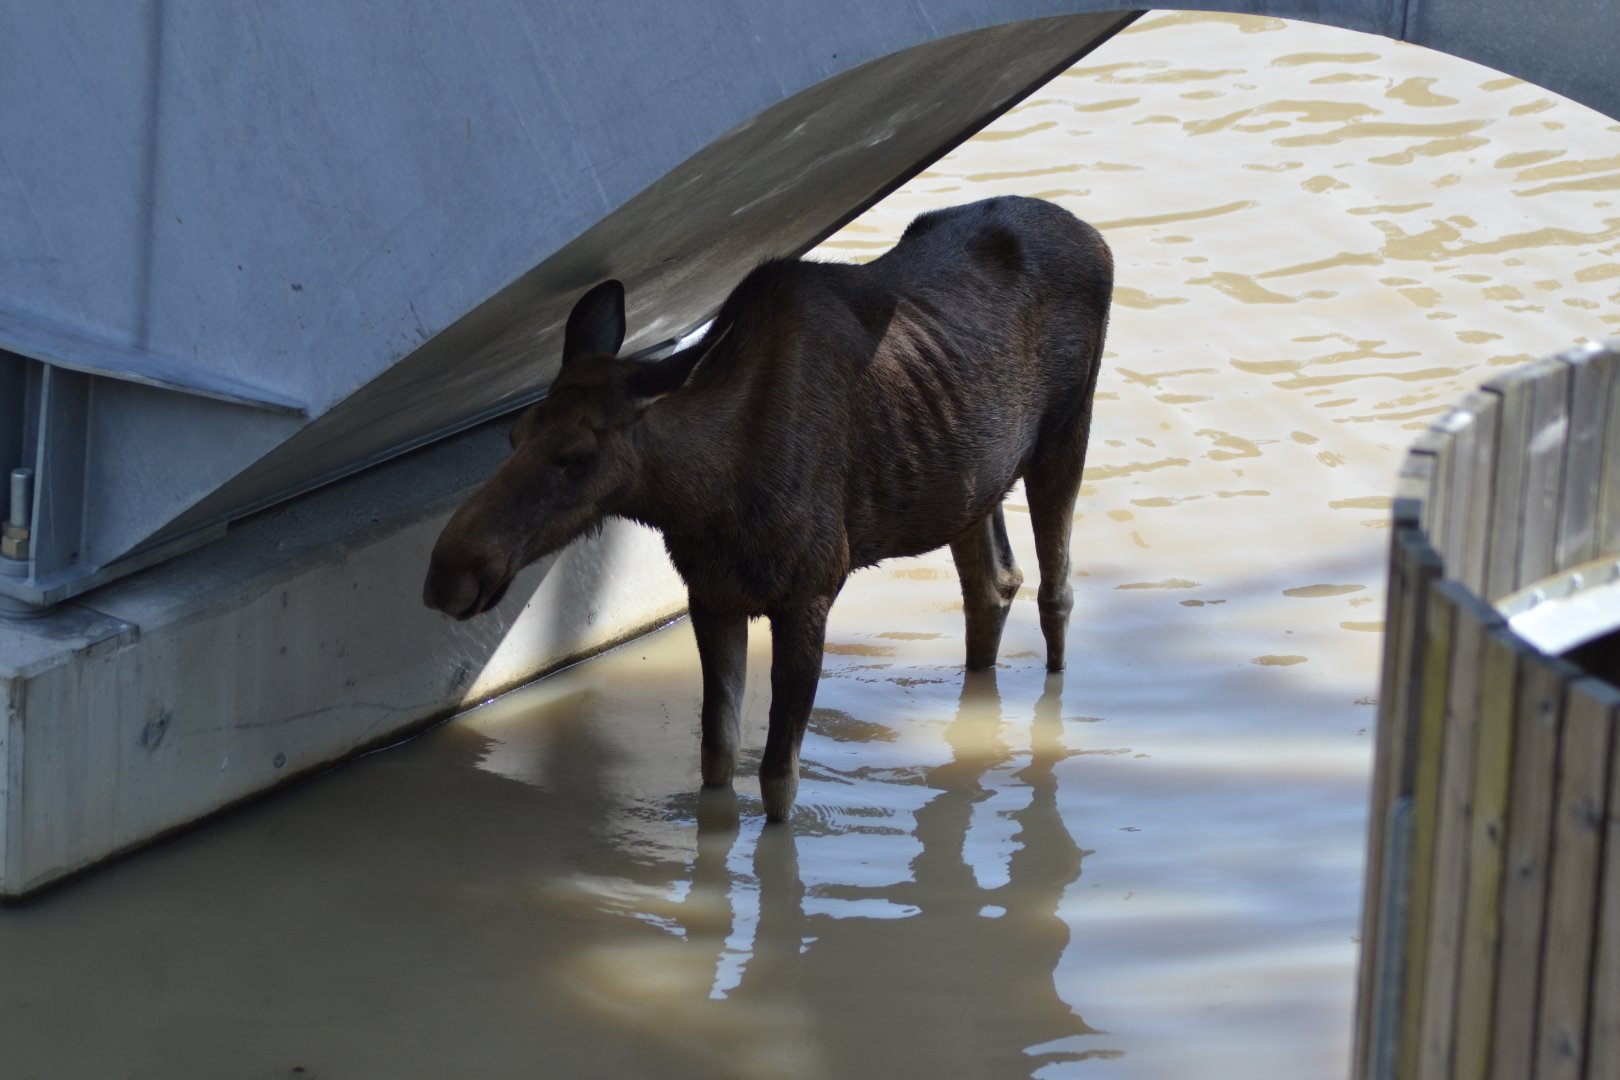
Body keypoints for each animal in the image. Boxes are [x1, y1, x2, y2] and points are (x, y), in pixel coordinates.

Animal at [424, 195, 1112, 822]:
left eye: (575, 454)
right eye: (513, 434)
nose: (447, 572)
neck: (705, 498)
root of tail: (1094, 236)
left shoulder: (810, 591)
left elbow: (779, 779)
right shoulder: (712, 596)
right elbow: (717, 756)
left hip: (1065, 433)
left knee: (1056, 590)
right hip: (969, 485)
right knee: (993, 584)